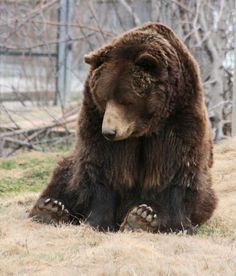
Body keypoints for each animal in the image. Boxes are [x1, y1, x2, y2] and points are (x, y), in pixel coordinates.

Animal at [29, 23, 218, 233]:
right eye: (104, 97)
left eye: (126, 100)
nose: (109, 132)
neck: (146, 127)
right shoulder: (95, 116)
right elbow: (102, 167)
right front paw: (97, 222)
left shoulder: (179, 116)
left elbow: (177, 168)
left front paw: (175, 225)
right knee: (67, 174)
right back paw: (50, 208)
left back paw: (141, 216)